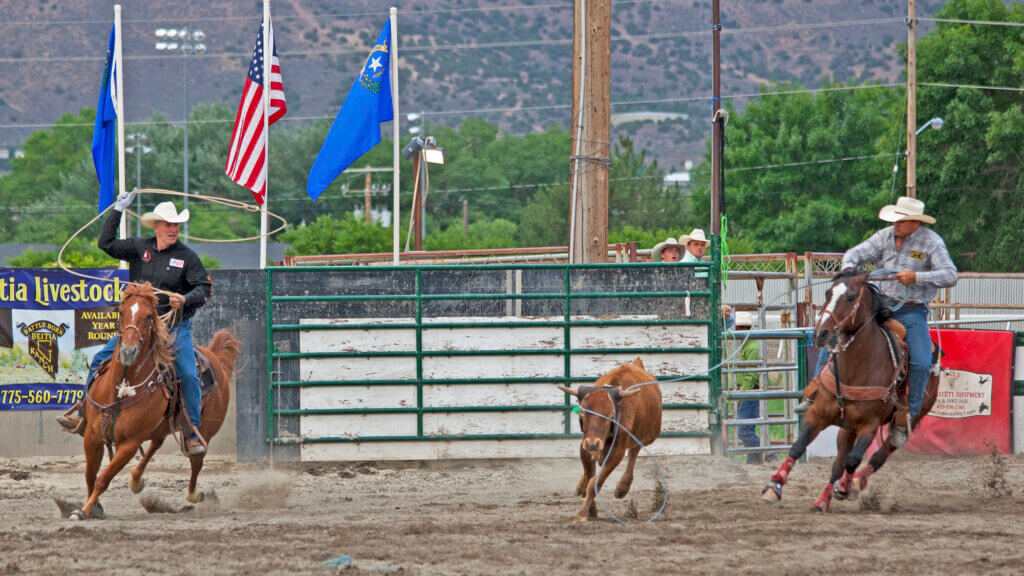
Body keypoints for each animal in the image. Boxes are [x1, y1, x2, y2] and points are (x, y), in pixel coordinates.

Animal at [72, 282, 239, 520]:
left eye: (149, 316)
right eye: (121, 312)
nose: (128, 351)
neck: (123, 388)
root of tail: (214, 356)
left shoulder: (129, 443)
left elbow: (104, 478)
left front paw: (83, 511)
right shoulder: (92, 436)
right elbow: (90, 475)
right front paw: (93, 507)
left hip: (205, 429)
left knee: (196, 461)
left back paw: (194, 495)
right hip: (159, 426)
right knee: (156, 444)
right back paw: (135, 480)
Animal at [761, 270, 937, 508]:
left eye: (851, 297)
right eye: (828, 293)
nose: (821, 334)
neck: (855, 368)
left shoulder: (870, 425)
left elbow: (854, 460)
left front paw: (845, 487)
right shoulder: (817, 414)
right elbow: (798, 446)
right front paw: (774, 486)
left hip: (910, 419)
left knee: (879, 454)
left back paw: (855, 483)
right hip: (847, 427)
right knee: (839, 460)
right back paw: (822, 500)